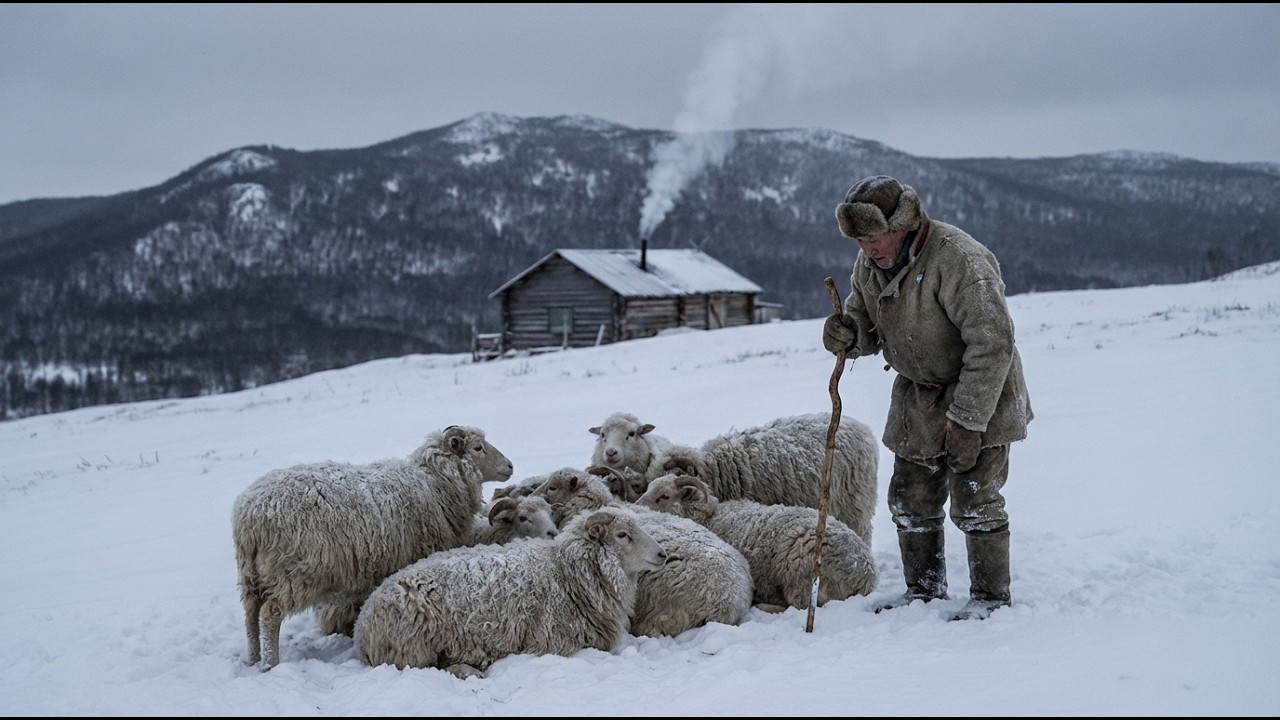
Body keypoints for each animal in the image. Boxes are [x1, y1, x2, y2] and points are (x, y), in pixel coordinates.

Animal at [232, 424, 514, 669]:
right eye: (478, 448)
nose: (510, 466)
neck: (435, 482)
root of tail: (249, 515)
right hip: (292, 572)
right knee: (269, 614)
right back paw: (270, 664)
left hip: (251, 574)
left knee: (250, 615)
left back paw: (253, 659)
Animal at [353, 506, 668, 676]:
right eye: (622, 535)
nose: (662, 554)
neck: (565, 572)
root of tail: (361, 626)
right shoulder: (551, 643)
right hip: (413, 646)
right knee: (429, 667)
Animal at [637, 473, 879, 611]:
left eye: (664, 496)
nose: (635, 506)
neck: (710, 516)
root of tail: (865, 574)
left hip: (801, 573)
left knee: (800, 605)